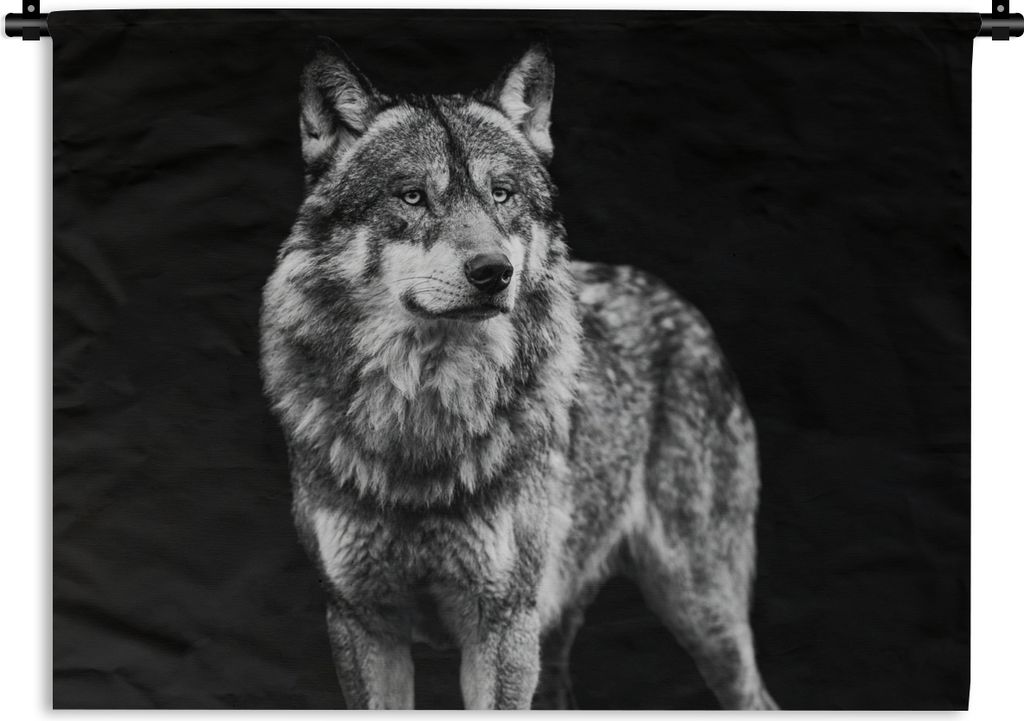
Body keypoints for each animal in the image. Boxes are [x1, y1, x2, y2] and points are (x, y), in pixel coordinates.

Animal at [259, 39, 776, 710]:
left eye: (501, 194)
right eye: (412, 196)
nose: (493, 272)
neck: (424, 417)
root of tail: (680, 305)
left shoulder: (501, 624)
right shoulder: (360, 624)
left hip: (698, 609)